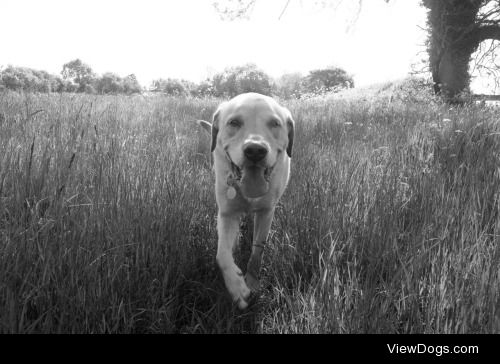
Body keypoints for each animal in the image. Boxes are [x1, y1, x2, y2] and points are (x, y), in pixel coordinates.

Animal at [198, 92, 294, 308]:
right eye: (234, 122)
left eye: (275, 123)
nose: (255, 150)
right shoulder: (227, 213)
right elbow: (222, 255)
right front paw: (236, 285)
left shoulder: (266, 212)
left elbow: (258, 251)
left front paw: (251, 281)